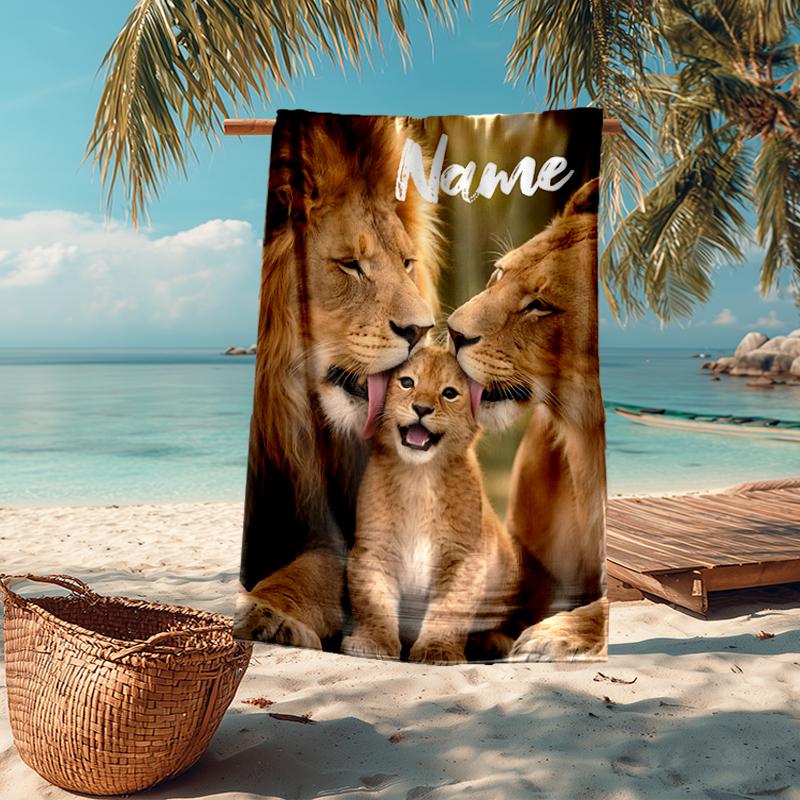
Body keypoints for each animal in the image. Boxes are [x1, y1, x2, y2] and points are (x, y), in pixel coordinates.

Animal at [234, 111, 440, 649]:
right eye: (350, 264)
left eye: (406, 263)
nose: (421, 330)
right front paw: (265, 613)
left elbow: (321, 567)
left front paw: (271, 613)